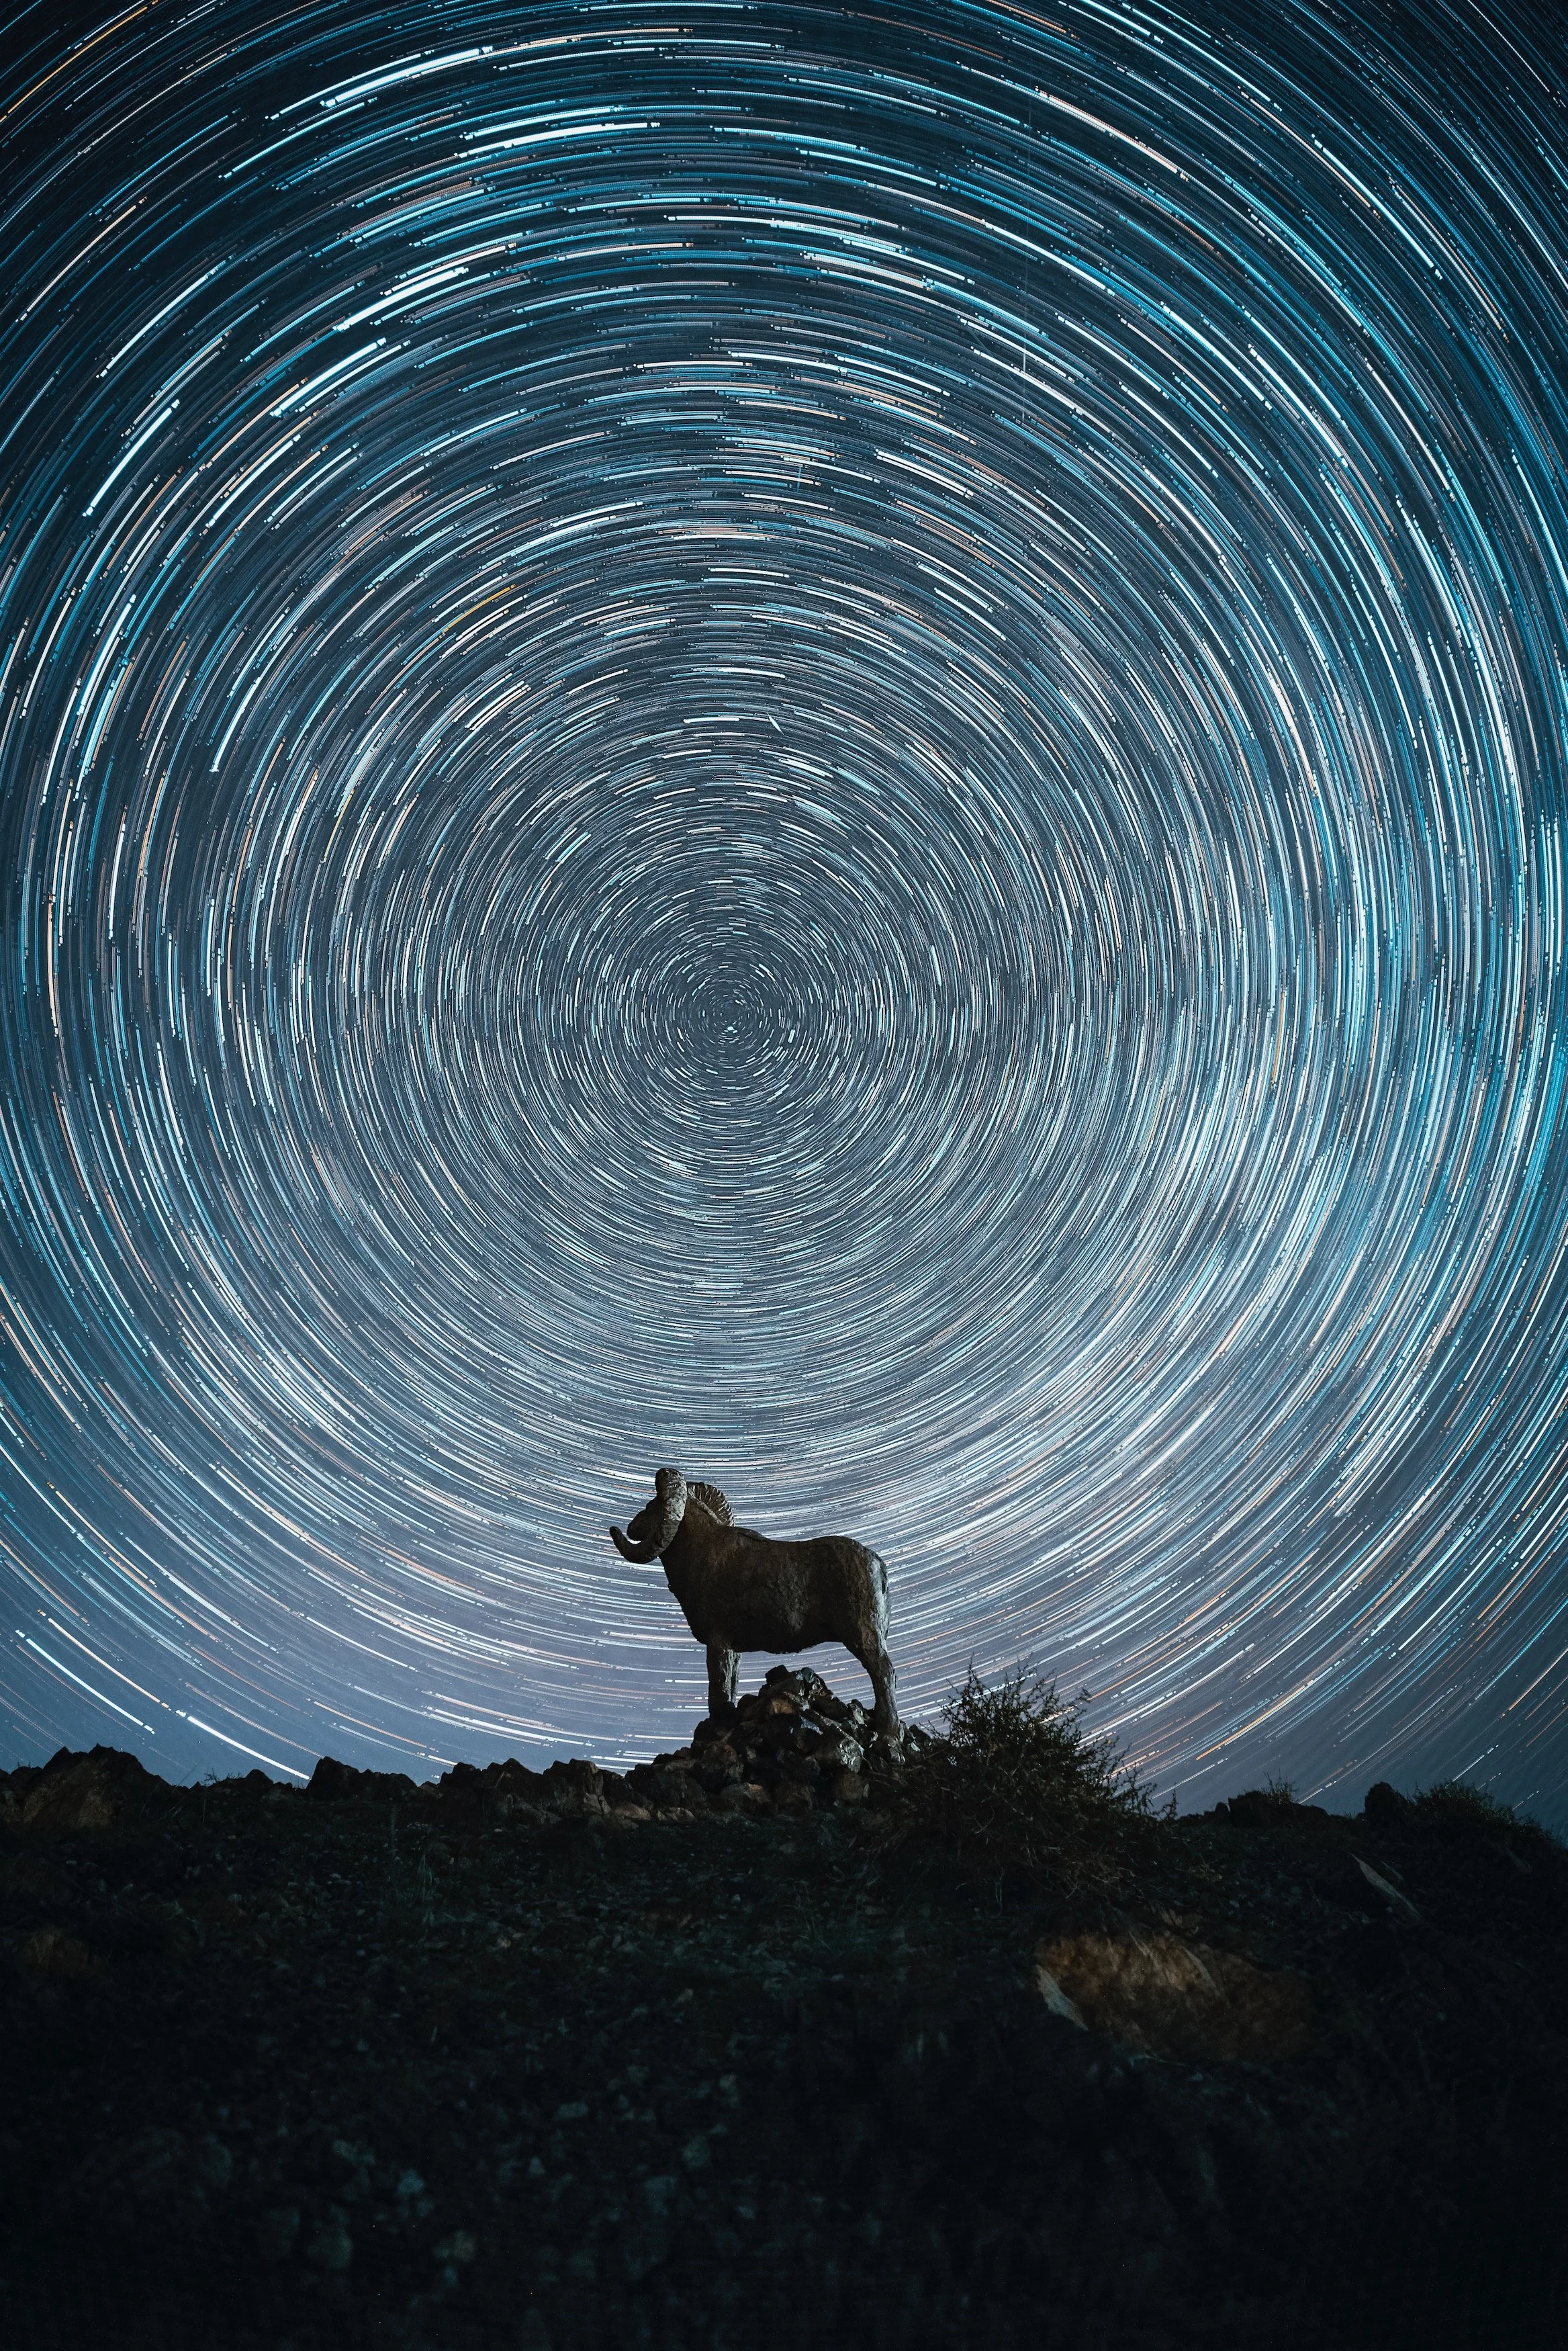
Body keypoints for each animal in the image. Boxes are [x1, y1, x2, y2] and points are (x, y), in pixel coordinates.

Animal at [609, 1466, 898, 1734]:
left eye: (651, 1505)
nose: (630, 1527)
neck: (699, 1553)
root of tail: (878, 1565)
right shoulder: (733, 1650)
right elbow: (731, 1685)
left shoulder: (718, 1644)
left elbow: (719, 1688)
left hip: (864, 1639)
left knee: (884, 1674)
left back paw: (888, 1732)